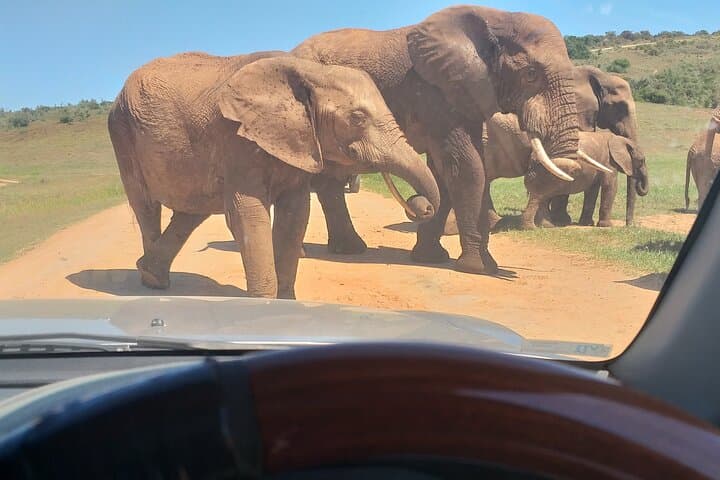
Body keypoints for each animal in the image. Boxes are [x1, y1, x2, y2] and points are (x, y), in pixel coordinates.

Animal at [107, 52, 440, 299]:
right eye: (357, 118)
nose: (422, 205)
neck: (310, 73)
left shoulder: (298, 143)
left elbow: (295, 214)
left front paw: (286, 302)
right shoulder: (237, 139)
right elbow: (248, 215)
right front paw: (264, 303)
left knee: (192, 212)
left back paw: (150, 273)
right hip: (122, 132)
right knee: (147, 206)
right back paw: (153, 285)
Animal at [291, 5, 602, 275]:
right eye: (531, 74)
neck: (497, 18)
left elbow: (445, 171)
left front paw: (431, 258)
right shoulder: (436, 92)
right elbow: (467, 167)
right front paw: (481, 269)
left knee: (331, 180)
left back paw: (350, 250)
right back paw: (308, 253)